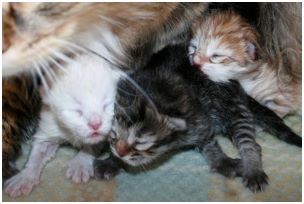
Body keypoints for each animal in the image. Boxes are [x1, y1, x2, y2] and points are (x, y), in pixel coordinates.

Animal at [4, 54, 123, 198]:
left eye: (106, 105)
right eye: (76, 110)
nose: (96, 124)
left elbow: (92, 145)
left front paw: (80, 164)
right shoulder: (49, 123)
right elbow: (37, 154)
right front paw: (24, 177)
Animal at [95, 44, 302, 193]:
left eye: (141, 142)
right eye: (113, 135)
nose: (120, 151)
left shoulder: (200, 120)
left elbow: (209, 142)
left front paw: (222, 161)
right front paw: (112, 161)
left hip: (232, 104)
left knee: (250, 142)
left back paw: (253, 169)